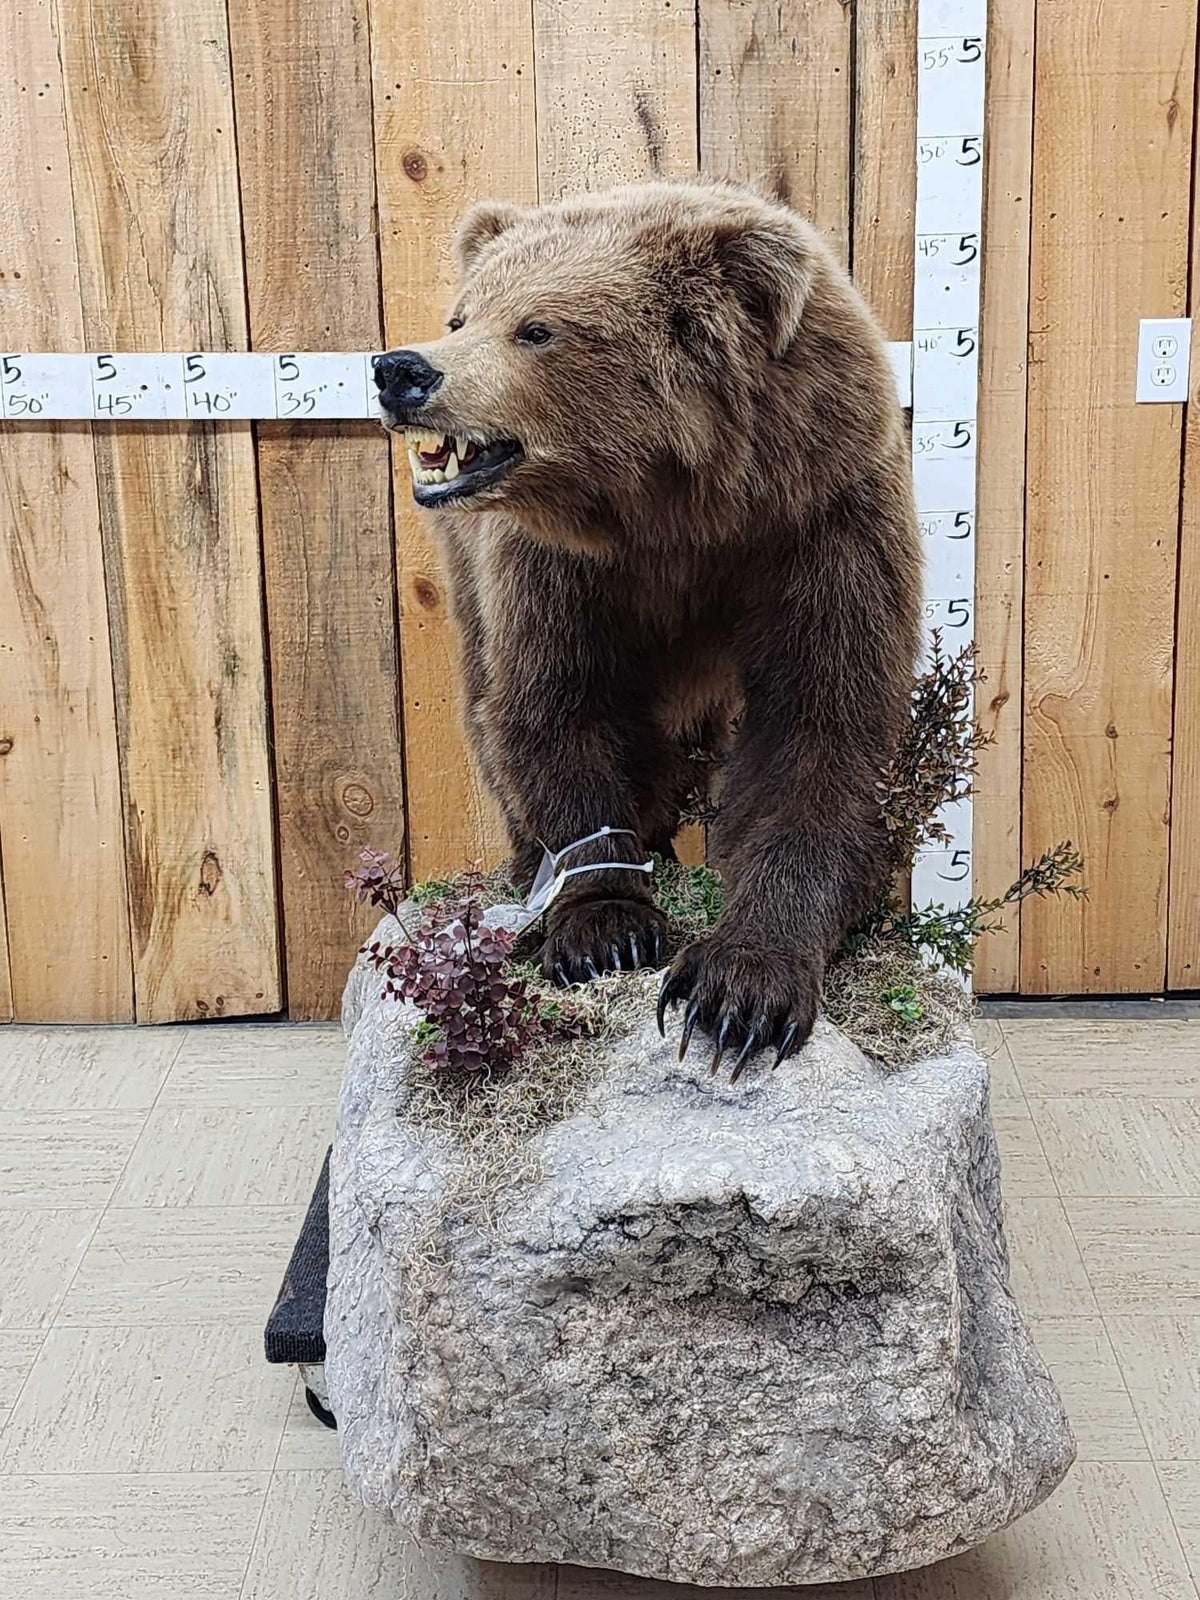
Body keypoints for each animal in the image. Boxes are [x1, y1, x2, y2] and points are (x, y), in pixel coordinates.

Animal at [374, 181, 921, 1078]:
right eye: (462, 315)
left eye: (536, 328)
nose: (402, 369)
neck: (675, 507)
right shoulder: (560, 570)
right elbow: (558, 709)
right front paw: (605, 925)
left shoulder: (820, 520)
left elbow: (822, 726)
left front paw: (741, 993)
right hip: (464, 564)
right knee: (491, 698)